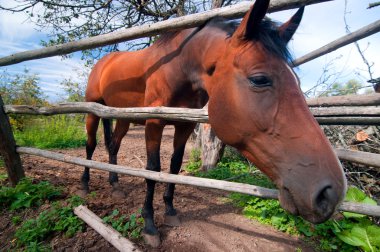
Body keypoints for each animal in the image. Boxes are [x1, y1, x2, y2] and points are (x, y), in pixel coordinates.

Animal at [83, 0, 348, 247]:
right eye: (259, 79)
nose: (331, 192)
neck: (176, 69)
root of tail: (105, 60)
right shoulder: (154, 123)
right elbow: (152, 171)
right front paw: (149, 225)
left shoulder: (184, 126)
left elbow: (174, 168)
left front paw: (170, 211)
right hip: (92, 111)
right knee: (90, 146)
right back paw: (85, 185)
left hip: (124, 118)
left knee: (113, 146)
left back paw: (115, 184)